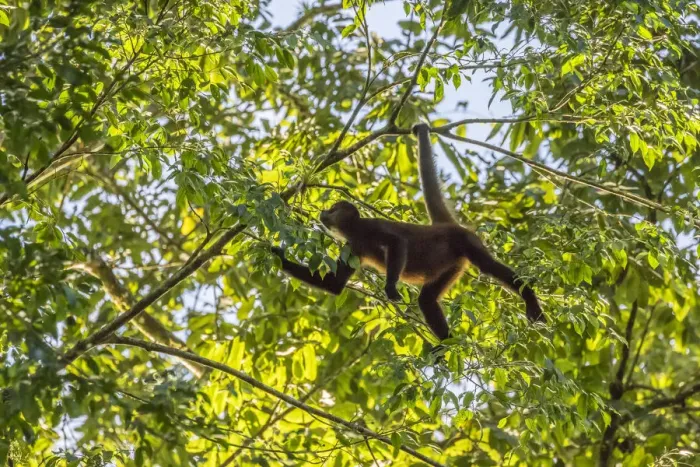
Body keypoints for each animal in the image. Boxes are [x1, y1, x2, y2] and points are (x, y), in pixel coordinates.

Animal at [272, 123, 544, 341]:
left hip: (466, 241)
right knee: (427, 300)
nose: (323, 212)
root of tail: (443, 226)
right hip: (452, 265)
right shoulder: (352, 246)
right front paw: (276, 255)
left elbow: (397, 242)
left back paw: (529, 298)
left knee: (487, 265)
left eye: (333, 208)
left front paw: (391, 287)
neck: (356, 232)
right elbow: (335, 285)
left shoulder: (371, 227)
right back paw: (446, 348)